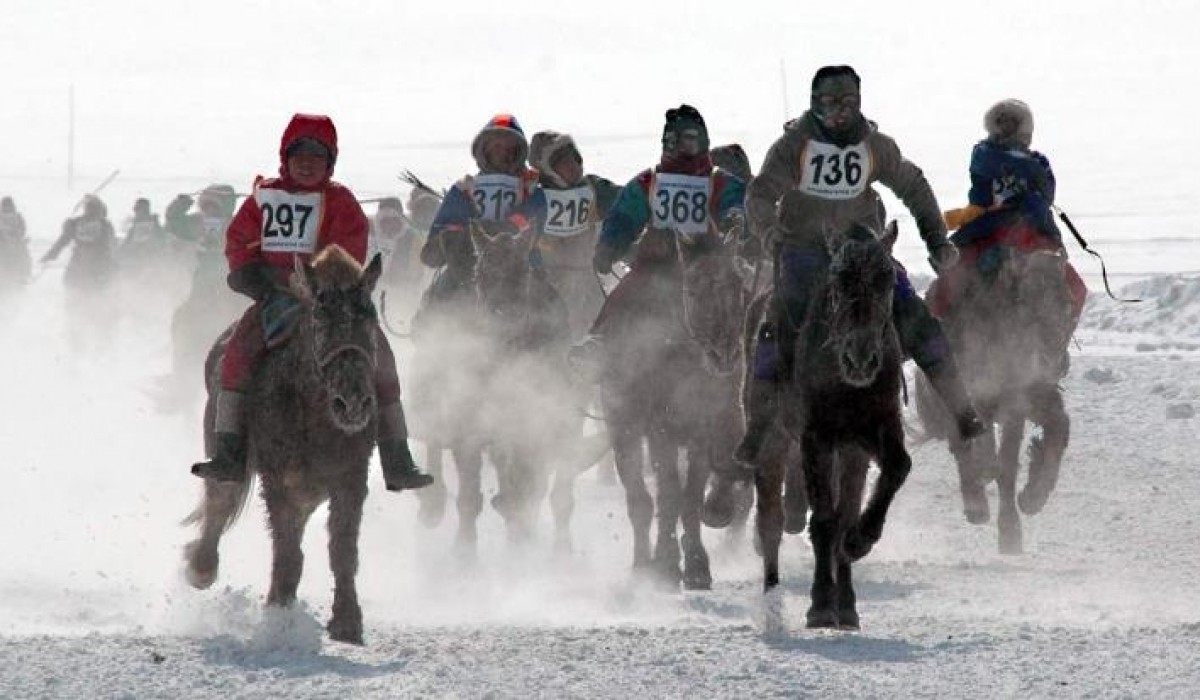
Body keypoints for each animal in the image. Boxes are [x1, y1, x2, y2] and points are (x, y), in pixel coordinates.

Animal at [182, 246, 384, 648]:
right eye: (319, 320)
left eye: (369, 319)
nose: (353, 402)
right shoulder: (279, 480)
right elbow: (287, 551)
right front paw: (279, 617)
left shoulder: (350, 478)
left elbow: (342, 550)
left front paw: (347, 622)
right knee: (219, 501)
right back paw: (201, 567)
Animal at [758, 226, 907, 633]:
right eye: (838, 281)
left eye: (887, 278)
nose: (861, 357)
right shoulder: (816, 438)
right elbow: (823, 520)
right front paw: (821, 603)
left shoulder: (872, 432)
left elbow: (896, 468)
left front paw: (860, 539)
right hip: (773, 440)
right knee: (770, 521)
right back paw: (772, 600)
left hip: (850, 455)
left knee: (846, 508)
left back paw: (849, 604)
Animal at [912, 243, 1075, 557]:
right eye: (1024, 301)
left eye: (1067, 303)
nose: (1054, 360)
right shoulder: (980, 393)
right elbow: (994, 457)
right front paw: (1010, 528)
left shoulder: (1023, 398)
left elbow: (1052, 432)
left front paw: (1032, 498)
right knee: (963, 447)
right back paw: (976, 502)